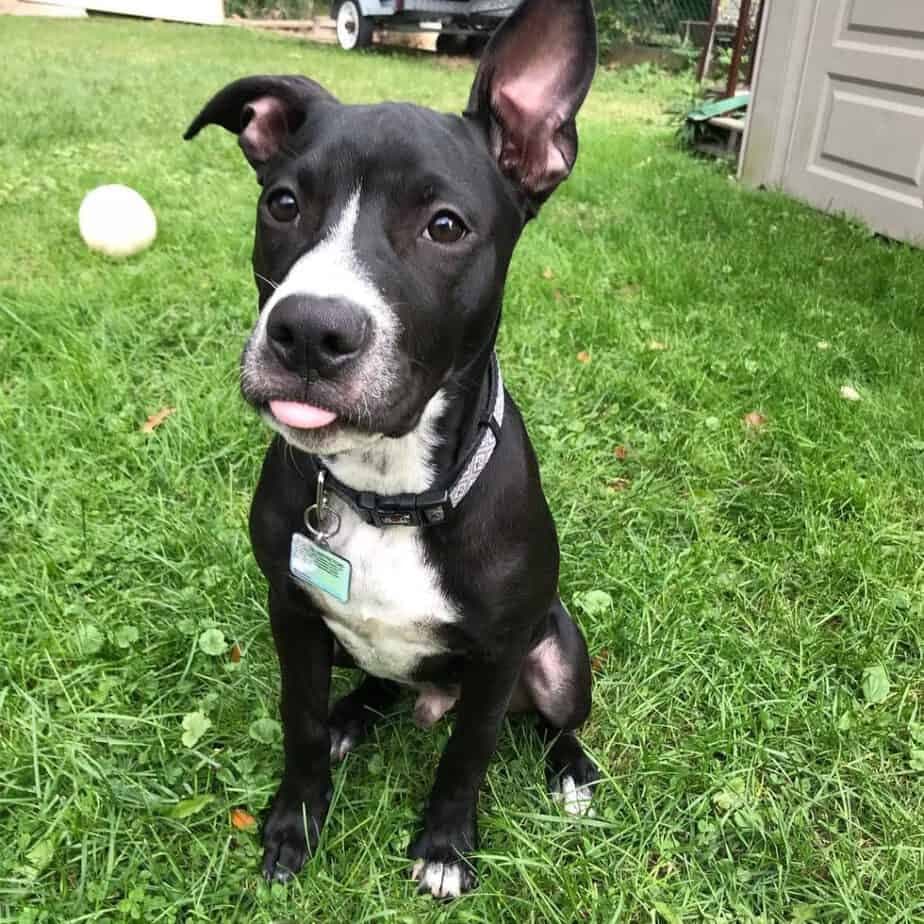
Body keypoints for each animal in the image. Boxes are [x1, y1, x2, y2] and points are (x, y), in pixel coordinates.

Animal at [189, 0, 600, 900]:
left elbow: (469, 755)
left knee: (554, 722)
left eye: (444, 226)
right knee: (374, 682)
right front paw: (294, 822)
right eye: (282, 204)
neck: (389, 491)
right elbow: (300, 727)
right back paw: (355, 717)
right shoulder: (292, 614)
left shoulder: (500, 656)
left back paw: (573, 771)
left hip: (559, 652)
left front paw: (445, 846)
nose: (309, 329)